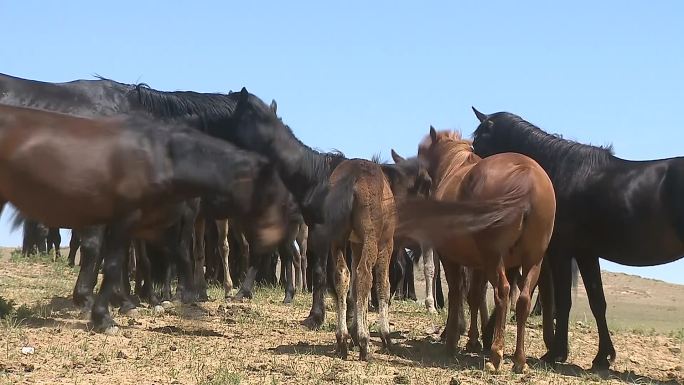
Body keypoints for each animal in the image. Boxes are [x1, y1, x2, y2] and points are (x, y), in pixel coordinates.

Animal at [0, 103, 286, 332]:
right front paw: (113, 309)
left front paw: (169, 297)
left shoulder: (165, 222)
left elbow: (169, 256)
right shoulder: (133, 220)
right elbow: (122, 260)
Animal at [396, 128, 556, 372]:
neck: (454, 166)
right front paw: (472, 340)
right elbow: (474, 296)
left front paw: (453, 340)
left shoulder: (451, 258)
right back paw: (519, 360)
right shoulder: (478, 264)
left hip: (495, 258)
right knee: (523, 300)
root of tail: (527, 179)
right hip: (532, 261)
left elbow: (456, 293)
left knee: (503, 292)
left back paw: (496, 355)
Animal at [472, 107, 684, 368]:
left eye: (478, 139)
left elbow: (563, 301)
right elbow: (597, 302)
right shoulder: (585, 253)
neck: (562, 173)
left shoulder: (561, 252)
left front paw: (557, 352)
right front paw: (603, 356)